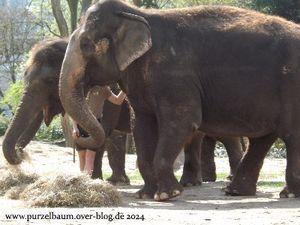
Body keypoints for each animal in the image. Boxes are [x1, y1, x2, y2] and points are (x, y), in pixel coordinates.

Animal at [58, 0, 300, 200]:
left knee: (291, 134)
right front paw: (146, 194)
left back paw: (288, 194)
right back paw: (235, 192)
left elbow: (182, 121)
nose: (77, 135)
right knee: (263, 138)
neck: (138, 14)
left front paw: (167, 194)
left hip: (292, 84)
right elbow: (142, 126)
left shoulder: (174, 75)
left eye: (86, 45)